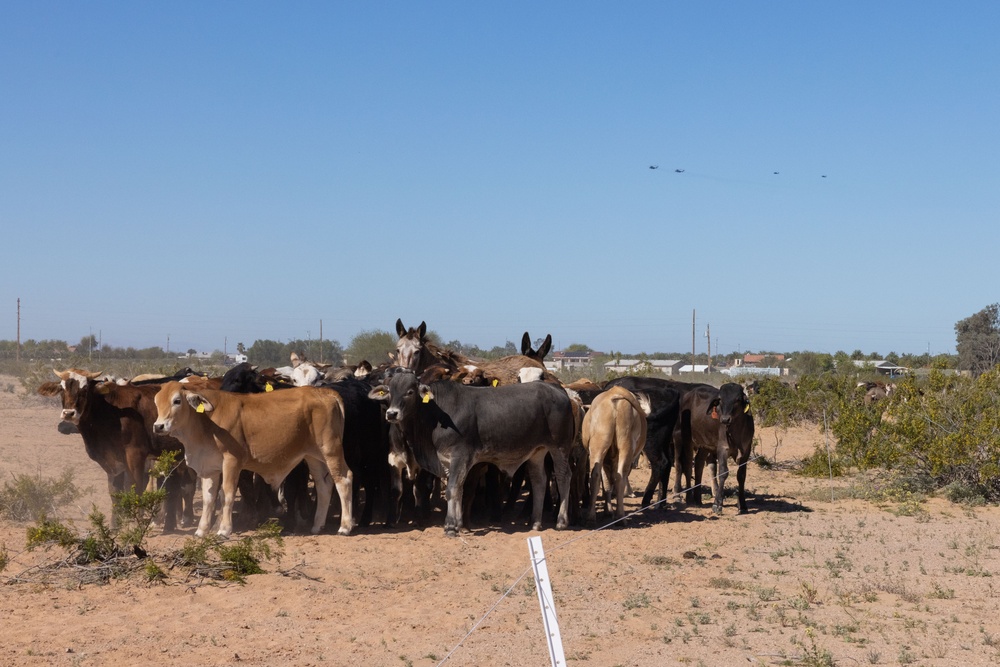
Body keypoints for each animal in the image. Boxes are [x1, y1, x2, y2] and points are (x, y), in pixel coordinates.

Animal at [148, 380, 352, 536]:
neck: (207, 420)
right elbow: (208, 498)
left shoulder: (232, 461)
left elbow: (227, 494)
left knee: (344, 480)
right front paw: (201, 530)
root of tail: (325, 392)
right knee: (324, 486)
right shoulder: (209, 468)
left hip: (330, 451)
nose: (158, 426)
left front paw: (224, 529)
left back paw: (345, 526)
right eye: (157, 401)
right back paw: (317, 526)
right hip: (313, 457)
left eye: (176, 401)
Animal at [368, 368, 576, 536]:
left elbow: (452, 489)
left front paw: (450, 527)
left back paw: (561, 522)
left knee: (564, 476)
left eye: (409, 392)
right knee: (539, 481)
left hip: (559, 447)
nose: (391, 414)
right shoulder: (447, 460)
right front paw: (457, 524)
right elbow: (459, 490)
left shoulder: (460, 456)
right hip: (537, 451)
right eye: (389, 392)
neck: (437, 413)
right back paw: (535, 523)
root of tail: (559, 391)